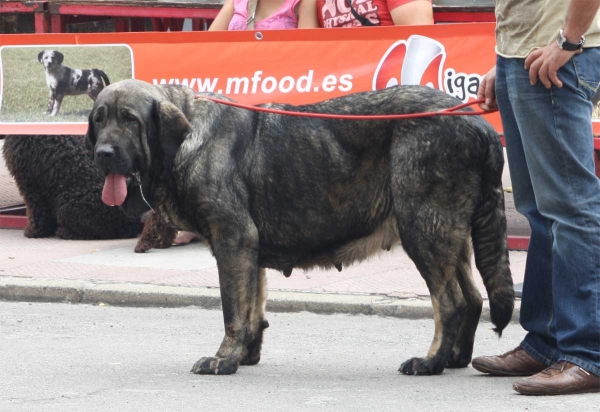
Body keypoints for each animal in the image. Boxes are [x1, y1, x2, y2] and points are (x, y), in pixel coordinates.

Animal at [86, 78, 512, 376]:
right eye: (99, 119)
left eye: (130, 120)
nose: (102, 153)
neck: (185, 141)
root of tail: (480, 126)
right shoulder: (249, 248)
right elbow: (252, 306)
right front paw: (247, 354)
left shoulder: (232, 240)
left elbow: (232, 309)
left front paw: (224, 359)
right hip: (448, 235)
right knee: (473, 297)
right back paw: (455, 358)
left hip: (422, 229)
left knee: (451, 302)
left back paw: (431, 362)